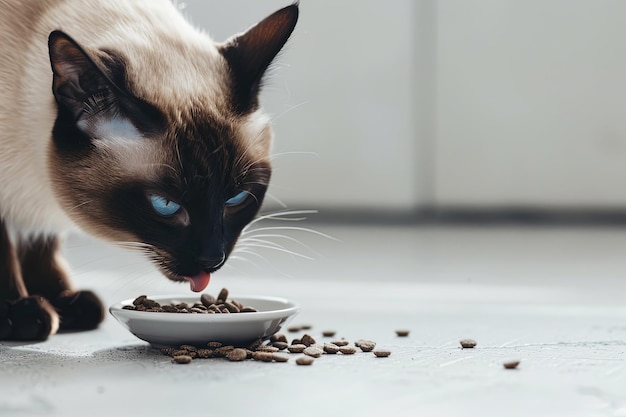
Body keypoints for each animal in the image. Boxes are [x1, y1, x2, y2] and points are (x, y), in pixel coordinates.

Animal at [0, 0, 298, 340]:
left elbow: (41, 243)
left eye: (236, 199)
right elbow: (6, 247)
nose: (212, 259)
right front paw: (21, 314)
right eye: (165, 205)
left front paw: (64, 301)